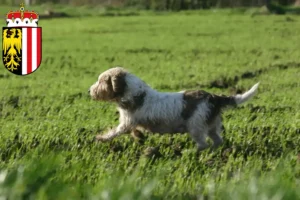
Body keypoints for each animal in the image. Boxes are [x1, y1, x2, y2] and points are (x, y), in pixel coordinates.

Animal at [88, 66, 258, 151]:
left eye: (101, 81)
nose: (89, 91)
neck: (133, 92)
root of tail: (213, 97)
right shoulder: (132, 122)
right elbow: (134, 131)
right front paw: (139, 136)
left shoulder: (126, 123)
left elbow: (115, 132)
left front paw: (101, 138)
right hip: (211, 124)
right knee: (217, 140)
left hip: (196, 126)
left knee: (203, 144)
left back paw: (191, 151)